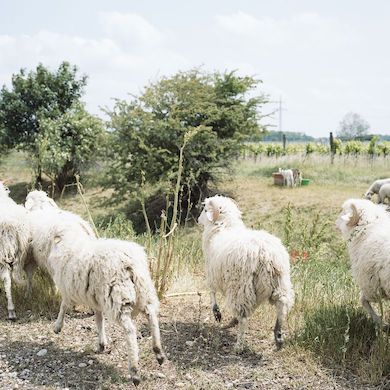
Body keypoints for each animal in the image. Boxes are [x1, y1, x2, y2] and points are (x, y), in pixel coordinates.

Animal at [27, 203, 165, 386]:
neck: (70, 242)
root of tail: (130, 263)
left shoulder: (67, 289)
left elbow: (63, 306)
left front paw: (57, 326)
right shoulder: (97, 299)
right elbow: (99, 320)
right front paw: (101, 344)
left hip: (118, 298)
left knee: (130, 330)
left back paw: (134, 370)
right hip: (144, 291)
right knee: (152, 315)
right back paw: (158, 352)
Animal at [200, 195, 294, 350]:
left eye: (205, 209)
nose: (198, 220)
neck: (224, 226)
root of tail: (265, 254)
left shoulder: (211, 271)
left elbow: (211, 291)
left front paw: (217, 312)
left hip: (240, 286)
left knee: (243, 316)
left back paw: (238, 345)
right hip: (280, 282)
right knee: (281, 306)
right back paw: (278, 336)